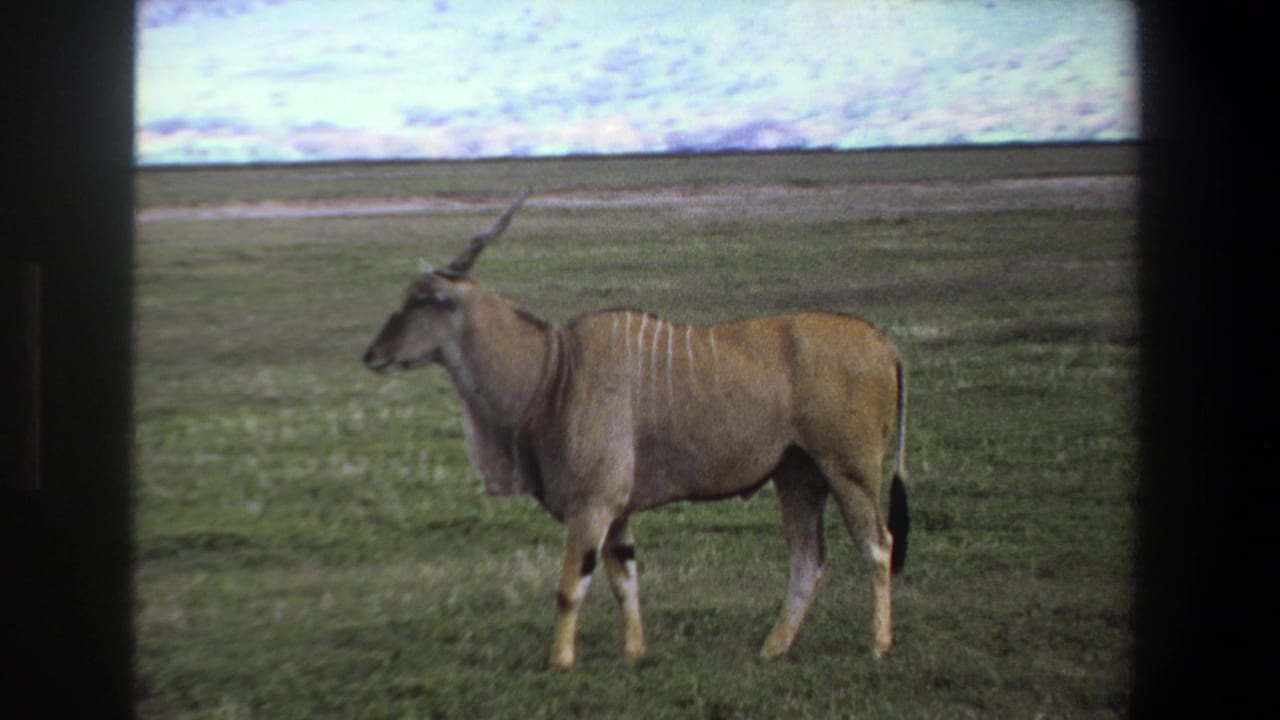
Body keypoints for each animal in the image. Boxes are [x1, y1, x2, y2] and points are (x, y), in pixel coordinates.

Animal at [362, 191, 910, 670]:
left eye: (424, 300)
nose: (371, 354)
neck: (553, 372)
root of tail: (884, 343)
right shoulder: (618, 513)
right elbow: (625, 580)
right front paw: (634, 654)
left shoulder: (592, 507)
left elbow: (570, 587)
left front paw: (560, 661)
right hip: (797, 475)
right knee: (808, 559)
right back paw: (773, 649)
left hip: (847, 470)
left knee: (877, 544)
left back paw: (878, 645)